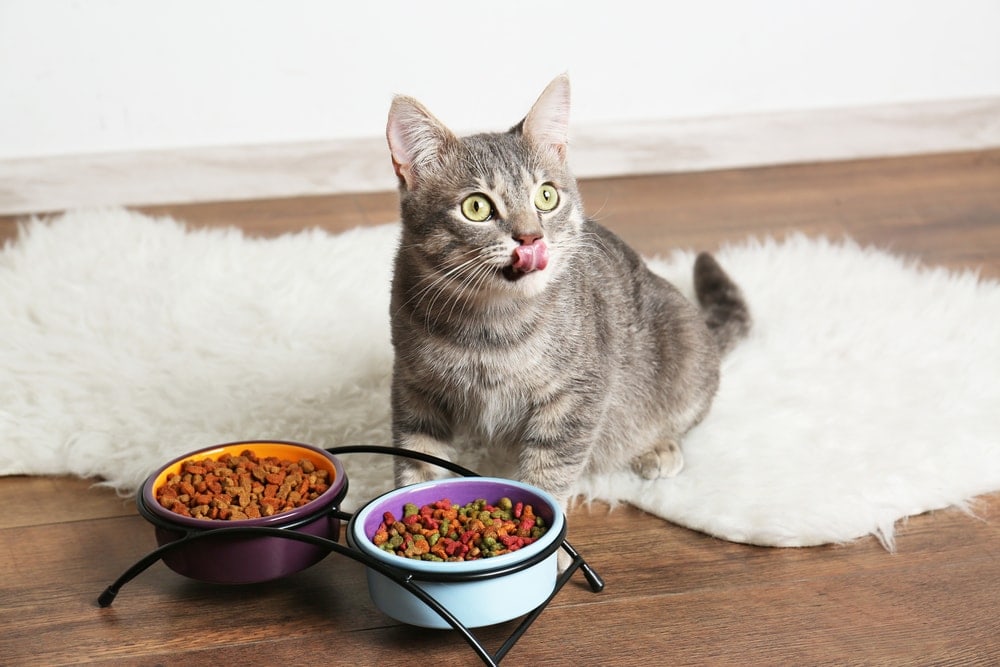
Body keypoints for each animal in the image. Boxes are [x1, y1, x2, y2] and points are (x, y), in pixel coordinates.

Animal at [386, 73, 748, 512]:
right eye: (476, 207)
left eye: (546, 196)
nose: (531, 237)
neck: (488, 327)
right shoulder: (414, 385)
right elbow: (416, 460)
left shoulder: (577, 396)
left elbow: (549, 475)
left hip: (683, 347)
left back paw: (659, 447)